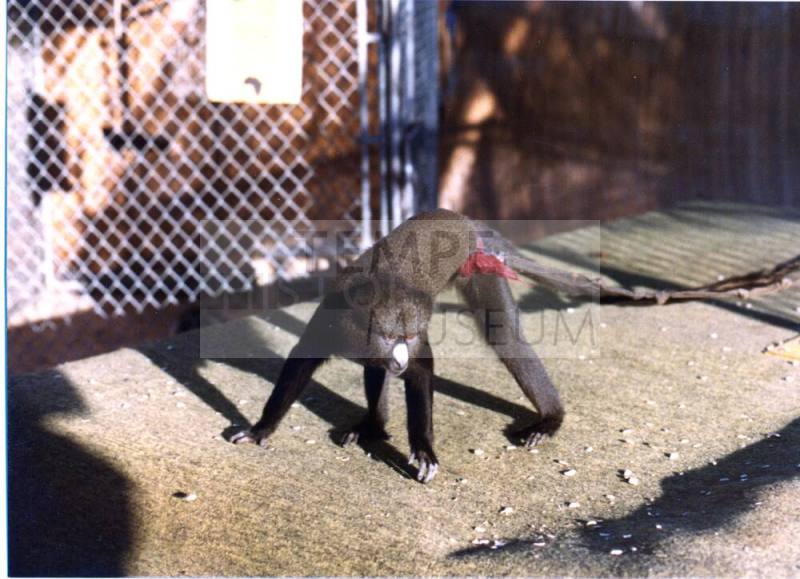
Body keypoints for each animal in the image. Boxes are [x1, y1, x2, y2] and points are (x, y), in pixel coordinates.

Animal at [231, 209, 566, 483]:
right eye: (391, 338)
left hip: (478, 265)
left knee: (504, 335)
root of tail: (460, 219)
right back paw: (374, 426)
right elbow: (301, 362)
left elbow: (421, 370)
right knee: (376, 368)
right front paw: (261, 428)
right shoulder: (330, 318)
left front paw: (423, 447)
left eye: (410, 337)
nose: (400, 356)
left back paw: (550, 419)